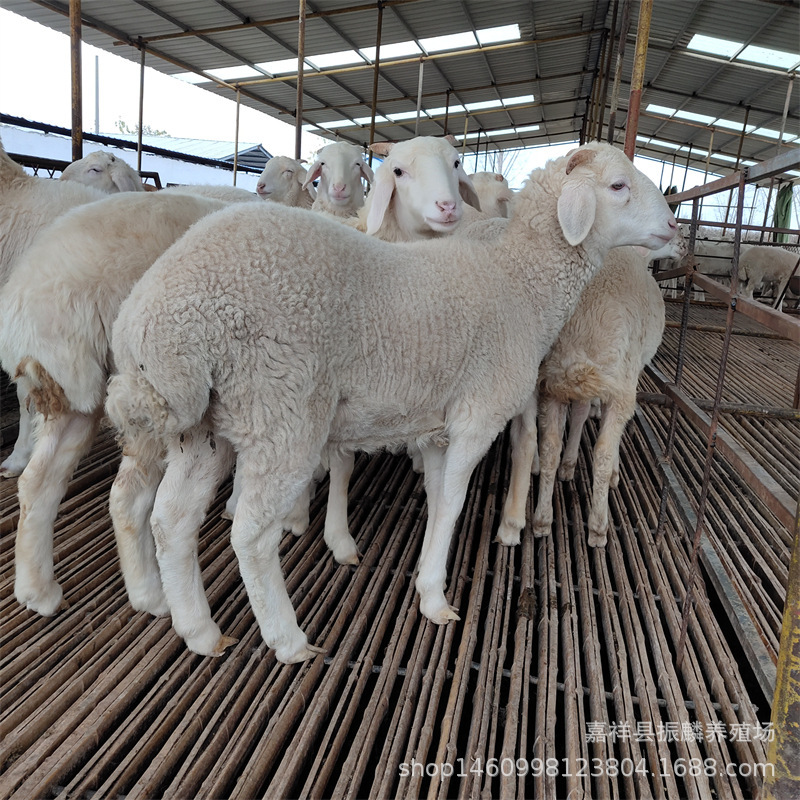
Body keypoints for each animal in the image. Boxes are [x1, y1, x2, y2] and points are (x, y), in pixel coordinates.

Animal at [0, 190, 229, 615]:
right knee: (129, 499)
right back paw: (151, 595)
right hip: (151, 399)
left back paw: (37, 591)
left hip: (75, 394)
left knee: (38, 482)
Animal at [104, 142, 676, 663]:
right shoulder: (477, 415)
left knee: (171, 521)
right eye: (618, 186)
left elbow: (438, 498)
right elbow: (453, 503)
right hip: (283, 410)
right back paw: (288, 640)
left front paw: (425, 576)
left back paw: (198, 630)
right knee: (250, 533)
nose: (674, 225)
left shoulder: (442, 427)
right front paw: (435, 598)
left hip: (208, 425)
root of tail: (155, 319)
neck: (519, 281)